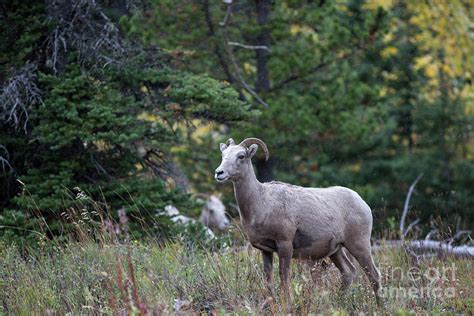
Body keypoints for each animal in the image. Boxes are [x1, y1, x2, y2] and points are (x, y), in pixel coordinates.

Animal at [215, 138, 382, 302]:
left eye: (241, 156)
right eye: (223, 155)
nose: (219, 173)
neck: (260, 202)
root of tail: (362, 203)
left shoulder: (285, 245)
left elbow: (284, 277)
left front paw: (287, 303)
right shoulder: (265, 250)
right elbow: (268, 279)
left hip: (359, 245)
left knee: (374, 275)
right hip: (337, 250)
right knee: (349, 272)